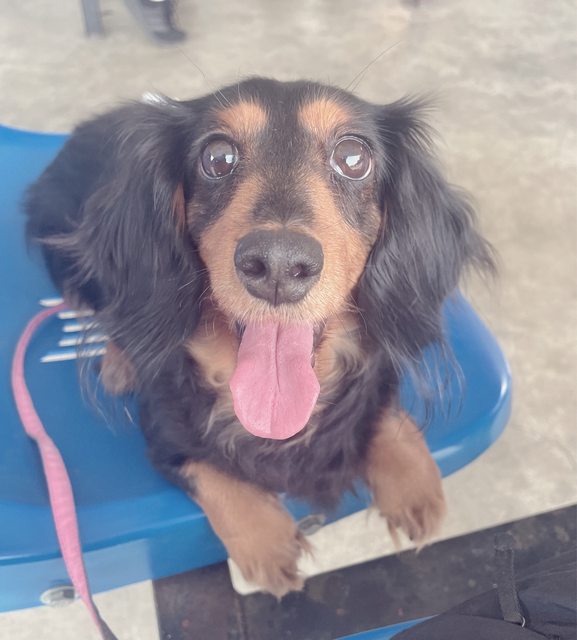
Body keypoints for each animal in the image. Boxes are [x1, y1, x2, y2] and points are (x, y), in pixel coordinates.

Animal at [25, 77, 493, 596]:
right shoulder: (163, 430)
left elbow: (379, 409)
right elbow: (207, 470)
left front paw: (414, 482)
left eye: (354, 157)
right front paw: (265, 542)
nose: (278, 264)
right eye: (217, 157)